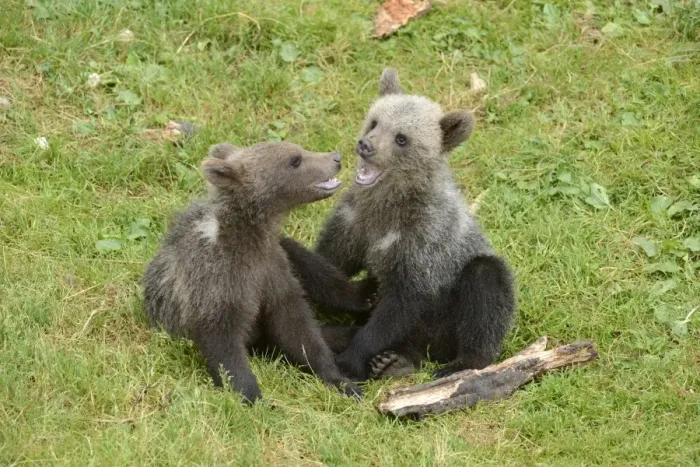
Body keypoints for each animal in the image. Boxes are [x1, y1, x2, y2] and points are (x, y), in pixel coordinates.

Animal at [143, 141, 363, 403]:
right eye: (295, 160)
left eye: (299, 149)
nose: (335, 157)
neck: (249, 237)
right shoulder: (216, 279)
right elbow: (223, 340)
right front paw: (251, 395)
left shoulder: (272, 268)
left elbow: (299, 329)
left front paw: (340, 380)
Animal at [306, 68, 517, 381]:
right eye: (375, 121)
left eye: (401, 138)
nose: (366, 146)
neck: (389, 206)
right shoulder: (354, 222)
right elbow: (330, 263)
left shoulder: (422, 246)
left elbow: (397, 307)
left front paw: (349, 360)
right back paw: (395, 361)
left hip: (451, 314)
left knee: (486, 285)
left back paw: (459, 364)